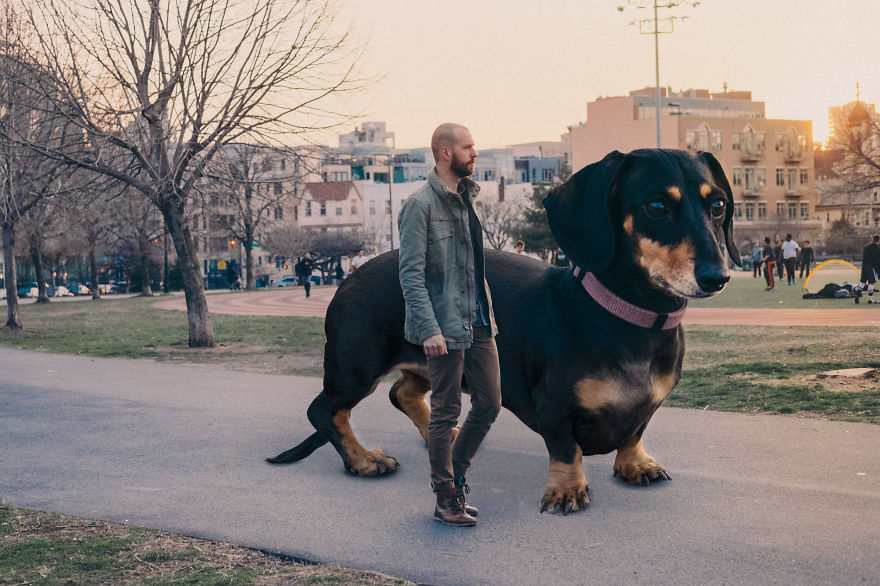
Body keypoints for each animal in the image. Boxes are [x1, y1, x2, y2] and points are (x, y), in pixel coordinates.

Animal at [270, 147, 744, 512]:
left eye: (718, 205)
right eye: (657, 207)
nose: (718, 276)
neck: (629, 319)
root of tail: (347, 276)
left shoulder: (649, 403)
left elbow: (636, 429)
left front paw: (635, 463)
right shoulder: (553, 405)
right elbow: (565, 448)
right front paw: (566, 490)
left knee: (402, 392)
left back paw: (444, 438)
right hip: (357, 366)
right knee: (326, 410)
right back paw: (364, 461)